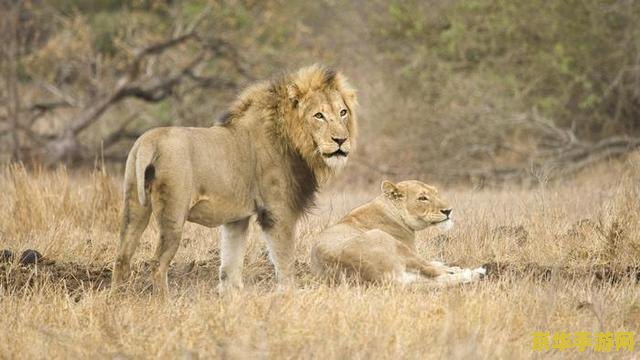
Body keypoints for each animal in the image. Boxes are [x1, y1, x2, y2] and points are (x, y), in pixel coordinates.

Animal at [112, 65, 358, 296]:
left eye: (343, 112)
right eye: (319, 116)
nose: (341, 140)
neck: (295, 143)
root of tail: (148, 140)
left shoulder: (236, 219)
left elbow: (230, 265)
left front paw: (230, 297)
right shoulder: (277, 212)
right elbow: (285, 263)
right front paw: (289, 295)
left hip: (134, 206)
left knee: (122, 257)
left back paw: (119, 298)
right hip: (173, 213)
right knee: (157, 264)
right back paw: (164, 303)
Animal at [310, 180, 484, 286]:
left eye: (436, 194)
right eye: (422, 198)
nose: (448, 211)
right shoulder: (411, 251)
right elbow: (432, 265)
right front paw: (456, 268)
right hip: (387, 241)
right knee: (434, 273)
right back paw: (472, 273)